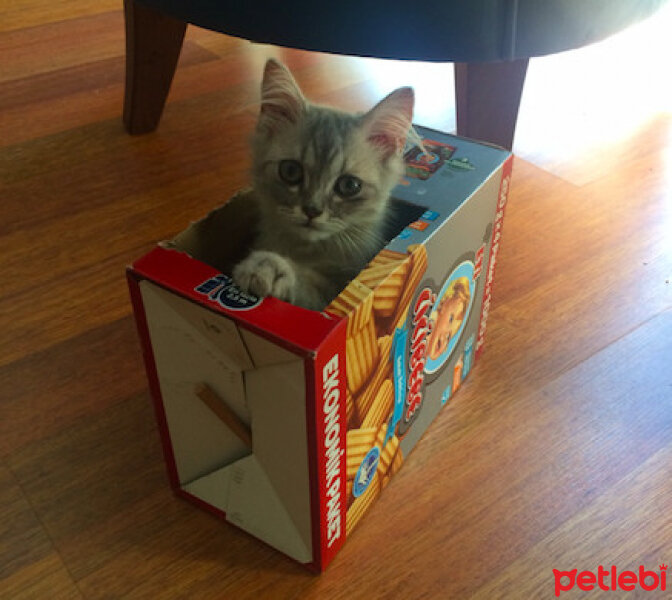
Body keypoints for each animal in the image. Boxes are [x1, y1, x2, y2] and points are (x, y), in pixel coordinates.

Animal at [232, 59, 414, 310]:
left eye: (349, 185)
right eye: (290, 171)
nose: (312, 210)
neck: (307, 250)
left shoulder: (337, 284)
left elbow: (310, 282)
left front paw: (268, 266)